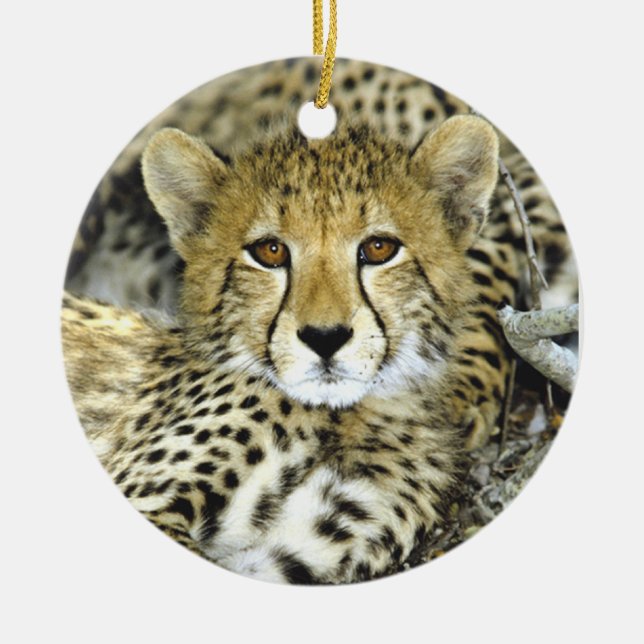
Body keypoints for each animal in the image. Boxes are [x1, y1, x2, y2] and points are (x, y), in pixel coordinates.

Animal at [62, 58, 577, 584]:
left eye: (379, 248)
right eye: (270, 251)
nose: (325, 338)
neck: (350, 417)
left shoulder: (283, 560)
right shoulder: (148, 501)